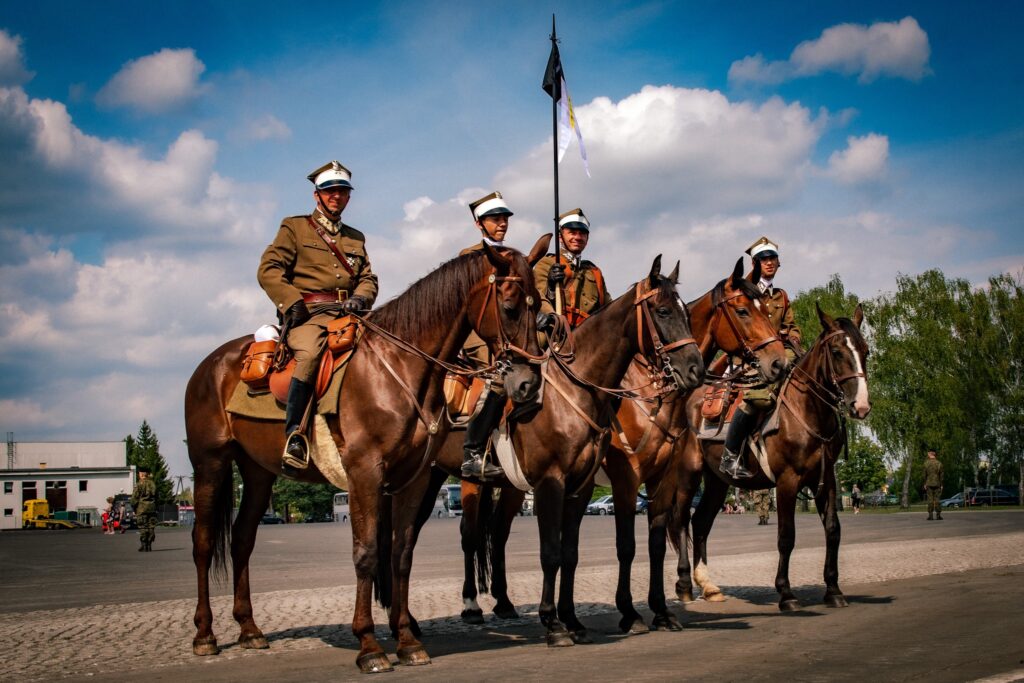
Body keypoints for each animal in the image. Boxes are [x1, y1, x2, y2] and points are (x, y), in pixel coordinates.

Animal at [186, 236, 552, 671]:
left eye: (539, 305)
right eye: (510, 305)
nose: (528, 383)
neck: (401, 368)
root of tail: (212, 363)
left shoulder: (413, 479)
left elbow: (401, 553)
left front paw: (407, 640)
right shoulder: (364, 474)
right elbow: (367, 553)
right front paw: (369, 644)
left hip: (258, 472)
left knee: (242, 538)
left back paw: (249, 629)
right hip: (210, 463)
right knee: (204, 541)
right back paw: (205, 634)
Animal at [399, 255, 704, 647]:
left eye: (686, 313)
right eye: (663, 310)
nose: (695, 369)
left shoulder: (592, 486)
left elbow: (577, 553)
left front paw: (575, 618)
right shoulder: (572, 481)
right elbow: (559, 551)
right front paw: (561, 621)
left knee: (487, 535)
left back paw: (496, 604)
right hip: (442, 479)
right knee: (452, 536)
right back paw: (461, 608)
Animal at [602, 258, 786, 634]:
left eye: (766, 309)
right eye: (743, 310)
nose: (779, 361)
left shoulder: (663, 476)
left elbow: (656, 542)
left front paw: (660, 610)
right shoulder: (627, 479)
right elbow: (627, 545)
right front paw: (630, 612)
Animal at [671, 305, 872, 610]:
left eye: (865, 351)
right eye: (837, 352)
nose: (860, 406)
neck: (807, 411)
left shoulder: (825, 480)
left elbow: (833, 531)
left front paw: (833, 590)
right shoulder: (787, 481)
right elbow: (786, 536)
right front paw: (786, 593)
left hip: (717, 481)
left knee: (701, 522)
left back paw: (708, 585)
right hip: (688, 474)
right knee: (682, 521)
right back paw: (684, 584)